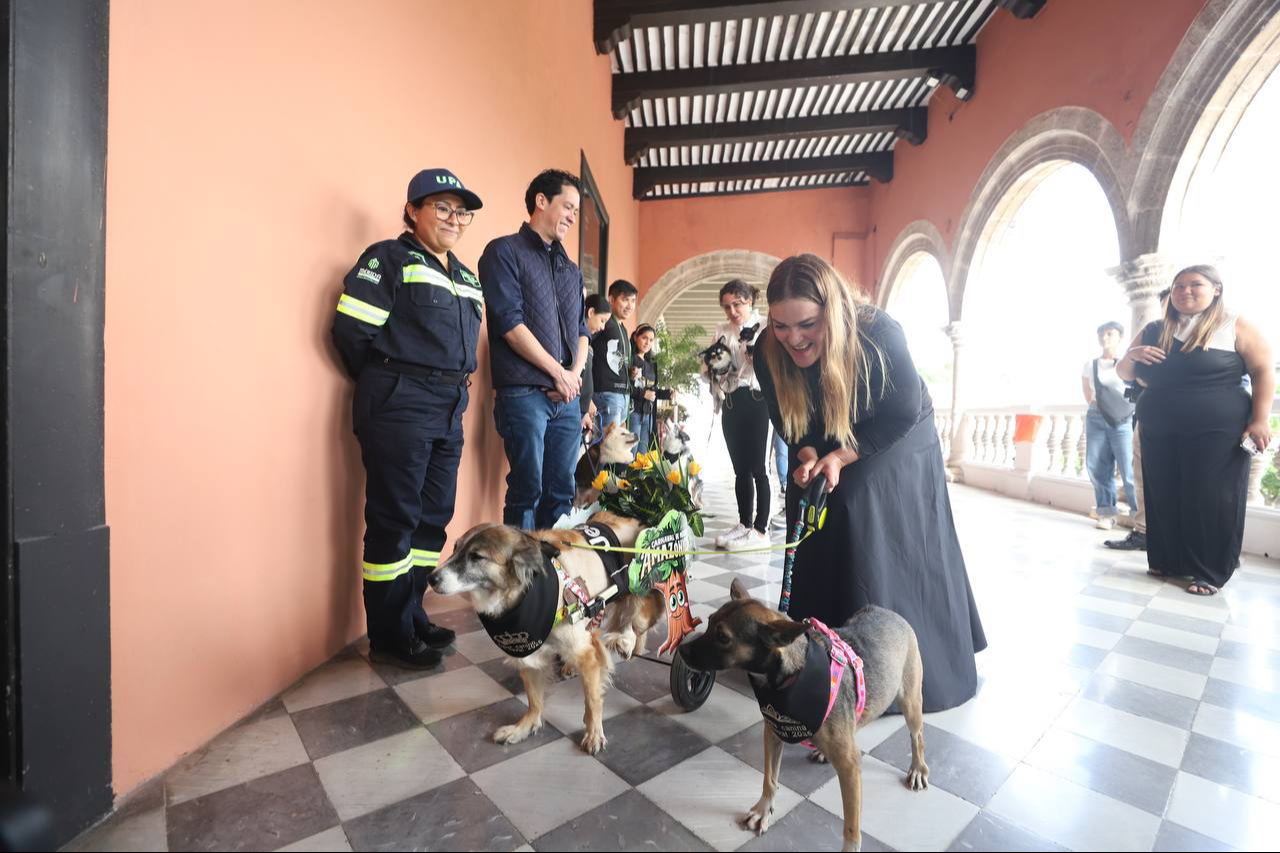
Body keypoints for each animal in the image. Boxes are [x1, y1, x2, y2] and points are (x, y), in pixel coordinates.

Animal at [435, 507, 665, 747]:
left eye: (477, 557)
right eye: (455, 548)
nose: (431, 578)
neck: (526, 593)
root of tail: (635, 521)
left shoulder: (587, 656)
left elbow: (592, 700)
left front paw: (594, 733)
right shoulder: (528, 654)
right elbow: (534, 701)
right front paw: (524, 727)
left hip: (636, 597)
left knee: (636, 623)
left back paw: (625, 642)